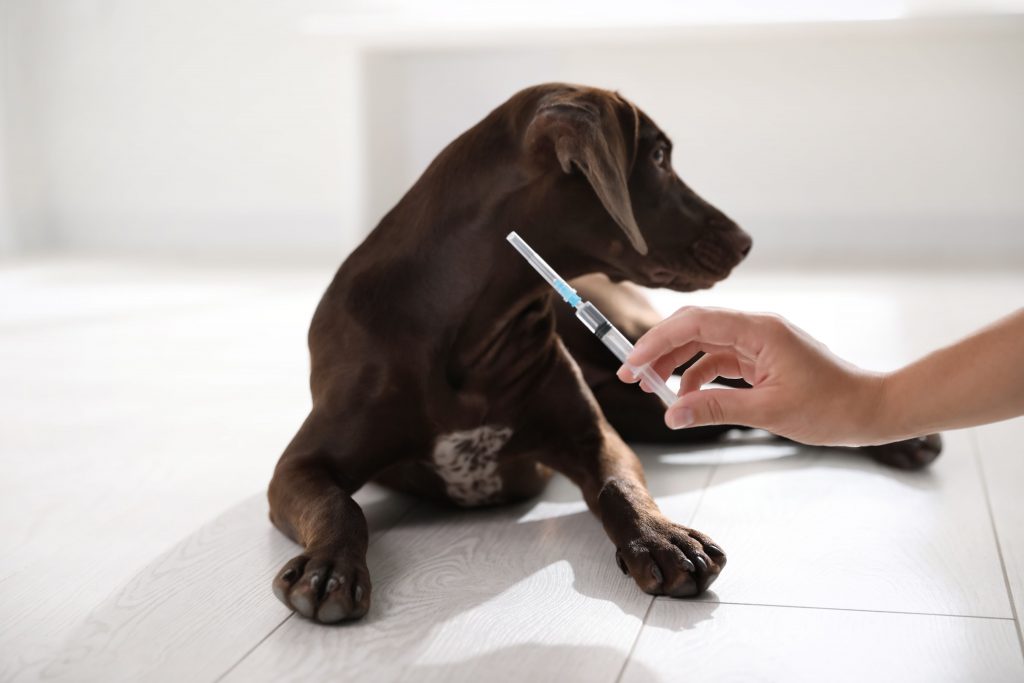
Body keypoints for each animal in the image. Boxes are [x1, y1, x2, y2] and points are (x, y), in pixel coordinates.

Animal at [268, 81, 937, 626]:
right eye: (660, 158)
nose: (747, 242)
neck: (468, 325)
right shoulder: (299, 467)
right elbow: (341, 508)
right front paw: (330, 567)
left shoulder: (596, 438)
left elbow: (618, 485)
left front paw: (661, 538)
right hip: (654, 414)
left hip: (647, 353)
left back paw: (896, 438)